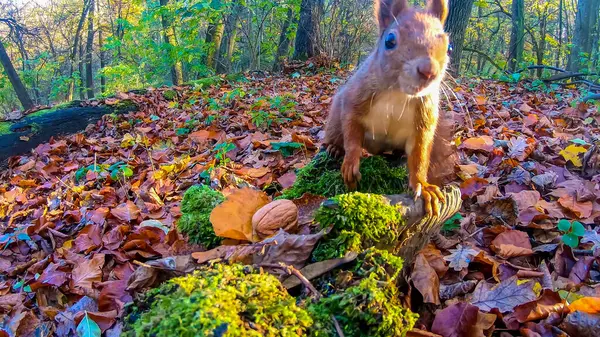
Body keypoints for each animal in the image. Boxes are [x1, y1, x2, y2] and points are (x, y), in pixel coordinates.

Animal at [326, 0, 452, 215]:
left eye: (448, 46)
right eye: (390, 40)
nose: (429, 71)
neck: (399, 94)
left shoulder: (424, 121)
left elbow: (419, 155)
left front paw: (423, 186)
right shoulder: (355, 99)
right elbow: (351, 131)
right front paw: (351, 163)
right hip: (334, 120)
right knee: (336, 133)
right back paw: (334, 148)